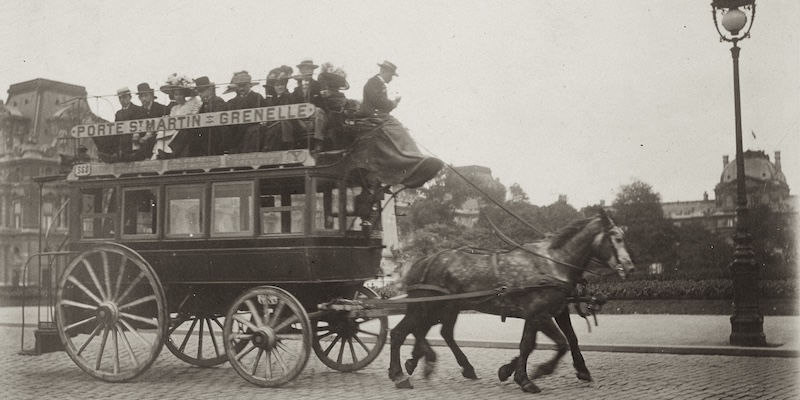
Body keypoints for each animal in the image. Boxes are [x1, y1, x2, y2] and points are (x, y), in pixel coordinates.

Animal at [390, 212, 636, 394]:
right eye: (616, 237)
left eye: (623, 236)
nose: (630, 267)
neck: (552, 263)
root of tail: (423, 261)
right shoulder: (539, 314)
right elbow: (553, 343)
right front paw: (531, 375)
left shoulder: (556, 310)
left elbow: (560, 340)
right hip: (425, 307)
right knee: (401, 332)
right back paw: (400, 374)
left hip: (446, 308)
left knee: (438, 332)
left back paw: (438, 363)